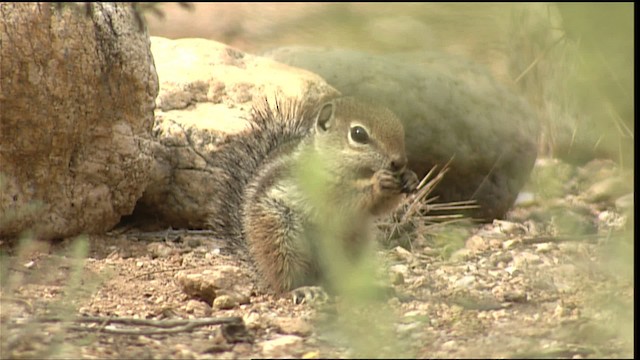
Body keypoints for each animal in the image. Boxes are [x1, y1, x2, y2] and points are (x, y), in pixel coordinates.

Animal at [206, 95, 420, 296]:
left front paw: (410, 178)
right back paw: (302, 289)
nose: (400, 162)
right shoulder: (321, 186)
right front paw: (377, 182)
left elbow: (379, 208)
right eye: (358, 134)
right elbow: (344, 197)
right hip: (278, 234)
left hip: (355, 247)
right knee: (284, 280)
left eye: (399, 126)